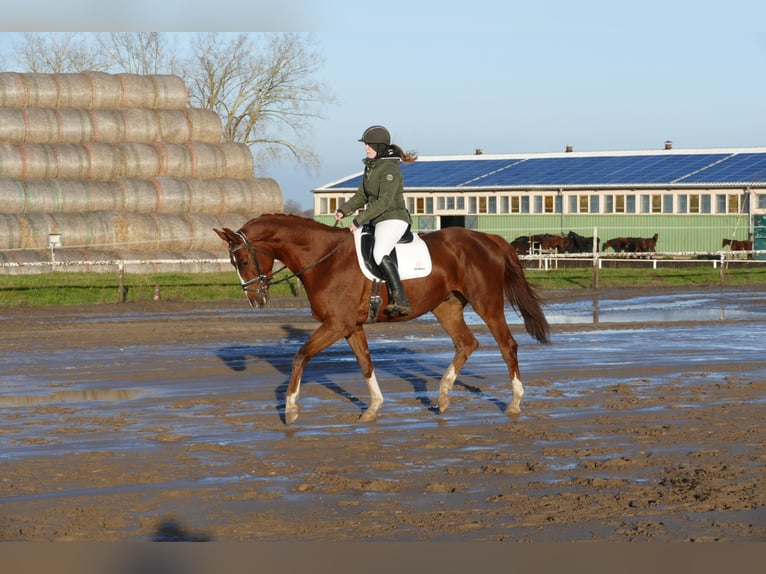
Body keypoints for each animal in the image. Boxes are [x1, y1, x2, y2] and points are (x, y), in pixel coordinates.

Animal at [215, 214, 550, 424]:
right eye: (233, 262)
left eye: (242, 259)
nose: (256, 300)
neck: (325, 259)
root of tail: (487, 239)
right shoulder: (351, 326)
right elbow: (365, 362)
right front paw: (373, 408)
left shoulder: (336, 324)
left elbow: (300, 356)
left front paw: (290, 409)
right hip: (447, 307)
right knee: (466, 343)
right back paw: (442, 396)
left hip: (487, 303)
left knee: (507, 346)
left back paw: (514, 402)